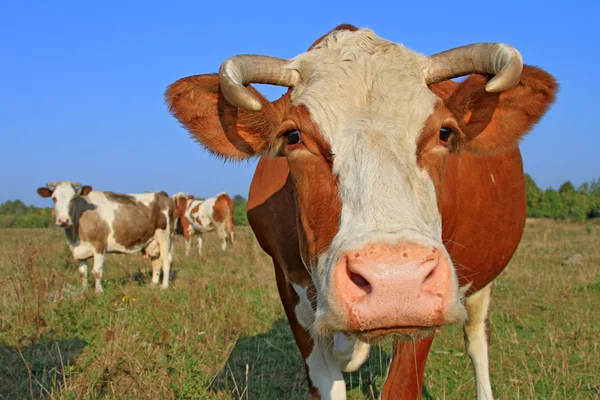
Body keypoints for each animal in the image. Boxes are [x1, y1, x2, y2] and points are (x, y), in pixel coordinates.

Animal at [36, 181, 177, 294]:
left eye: (73, 198)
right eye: (54, 198)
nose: (63, 220)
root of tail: (161, 194)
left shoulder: (99, 245)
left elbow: (96, 272)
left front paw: (99, 292)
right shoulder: (78, 250)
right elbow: (83, 272)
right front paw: (83, 291)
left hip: (165, 236)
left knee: (166, 260)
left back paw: (164, 286)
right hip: (152, 241)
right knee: (156, 261)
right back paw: (153, 285)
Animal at [165, 25, 556, 400]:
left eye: (445, 132)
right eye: (292, 136)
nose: (395, 281)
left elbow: (402, 387)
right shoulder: (290, 288)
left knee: (476, 339)